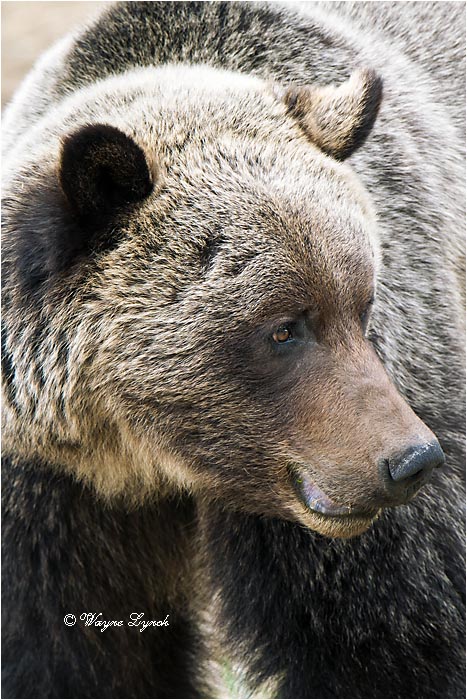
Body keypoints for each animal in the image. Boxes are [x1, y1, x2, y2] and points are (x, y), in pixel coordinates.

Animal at [1, 1, 465, 698]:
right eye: (283, 328)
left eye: (363, 304)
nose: (410, 460)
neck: (146, 459)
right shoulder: (49, 493)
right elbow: (76, 655)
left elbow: (393, 636)